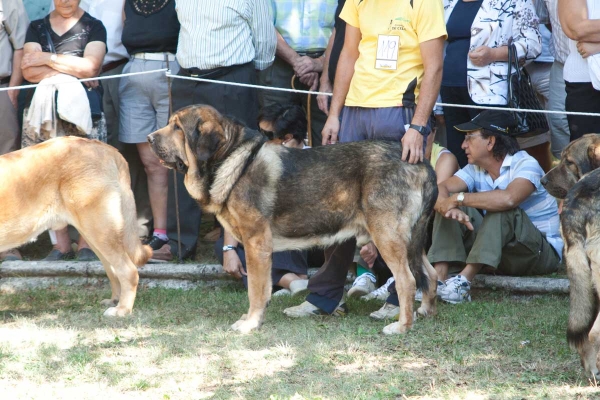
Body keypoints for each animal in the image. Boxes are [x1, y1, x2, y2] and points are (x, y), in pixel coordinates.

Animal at [0, 137, 152, 316]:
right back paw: (114, 301)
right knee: (113, 270)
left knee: (129, 271)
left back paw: (121, 310)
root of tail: (107, 149)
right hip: (94, 233)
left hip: (98, 228)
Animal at [149, 104, 440, 334]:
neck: (230, 158)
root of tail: (422, 163)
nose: (149, 139)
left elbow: (255, 290)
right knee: (431, 274)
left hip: (387, 237)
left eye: (177, 127)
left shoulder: (256, 244)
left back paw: (401, 326)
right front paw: (252, 319)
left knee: (407, 281)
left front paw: (250, 323)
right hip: (410, 241)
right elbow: (261, 289)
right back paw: (425, 312)